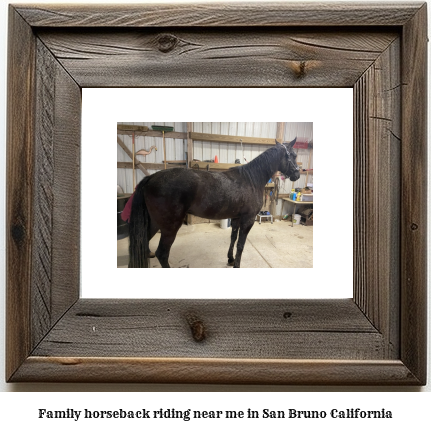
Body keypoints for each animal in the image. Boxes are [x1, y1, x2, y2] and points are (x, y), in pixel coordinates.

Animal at [128, 138, 302, 268]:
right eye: (293, 155)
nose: (297, 175)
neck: (251, 179)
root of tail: (151, 178)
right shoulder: (248, 220)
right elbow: (241, 244)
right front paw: (237, 265)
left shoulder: (237, 218)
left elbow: (233, 239)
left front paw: (230, 259)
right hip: (170, 227)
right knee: (162, 254)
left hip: (153, 223)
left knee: (143, 245)